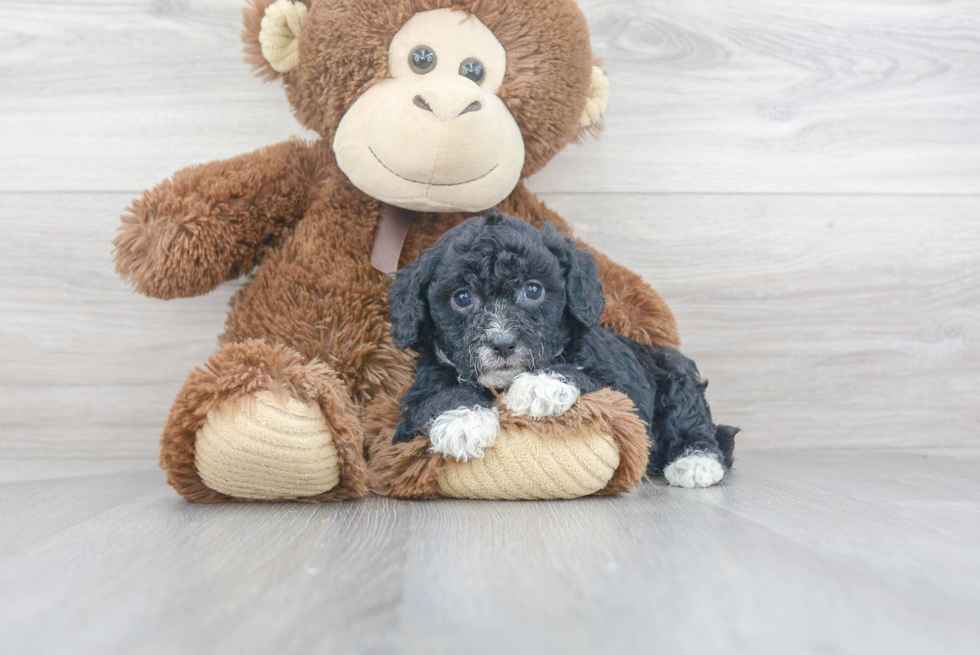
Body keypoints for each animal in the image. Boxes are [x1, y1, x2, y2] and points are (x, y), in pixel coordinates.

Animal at [386, 210, 740, 486]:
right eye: (462, 298)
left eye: (533, 290)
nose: (502, 344)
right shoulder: (412, 405)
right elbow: (436, 398)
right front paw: (463, 421)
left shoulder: (621, 391)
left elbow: (585, 376)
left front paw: (537, 386)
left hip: (675, 374)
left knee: (696, 424)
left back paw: (696, 462)